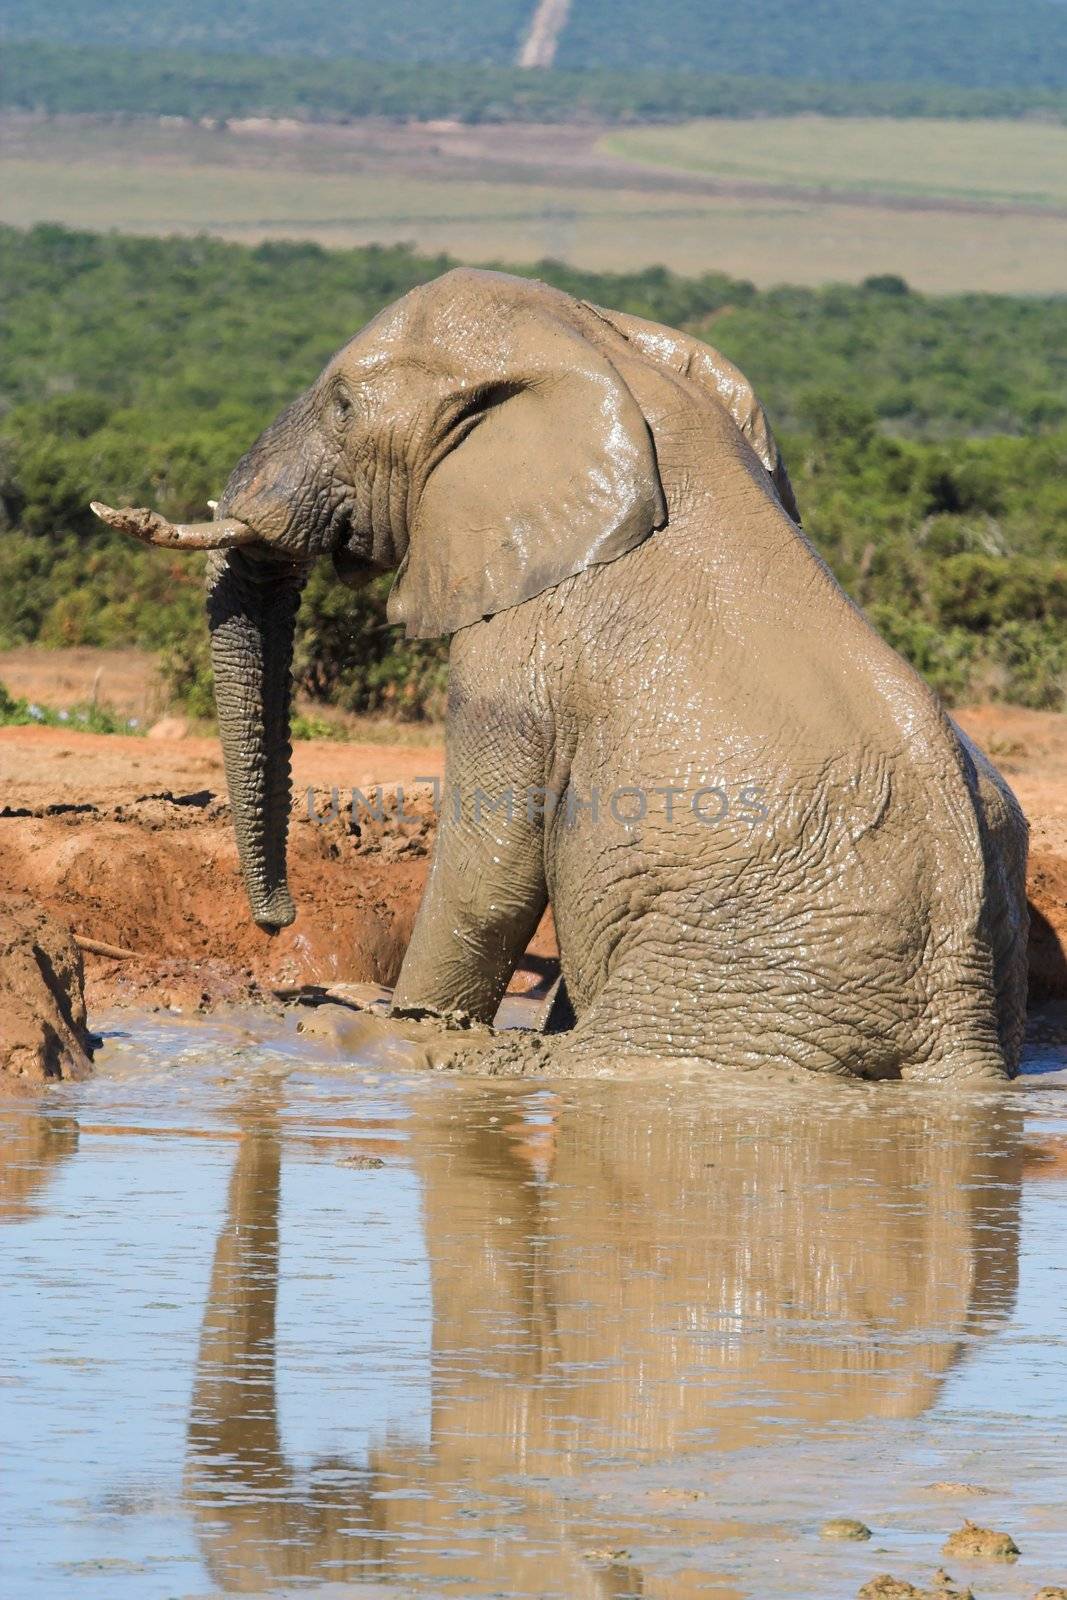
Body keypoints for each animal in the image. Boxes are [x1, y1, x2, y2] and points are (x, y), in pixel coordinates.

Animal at [95, 268, 1030, 1081]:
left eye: (343, 407)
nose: (277, 922)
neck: (622, 374)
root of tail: (958, 1037)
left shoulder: (515, 651)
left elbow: (489, 873)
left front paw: (409, 1024)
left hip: (726, 995)